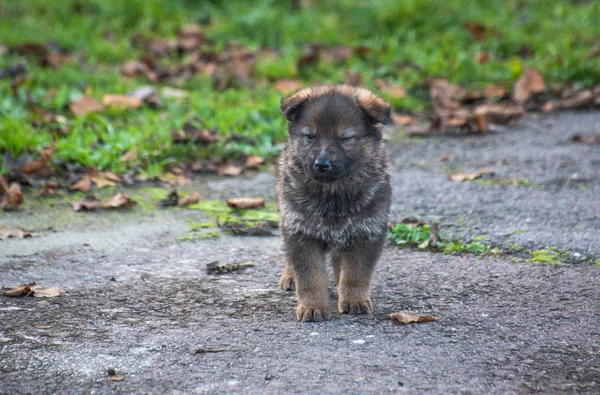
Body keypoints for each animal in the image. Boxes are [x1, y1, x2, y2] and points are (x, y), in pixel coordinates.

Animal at [276, 86, 392, 322]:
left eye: (345, 138)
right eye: (310, 136)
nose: (321, 164)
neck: (333, 192)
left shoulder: (366, 231)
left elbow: (356, 274)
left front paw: (355, 300)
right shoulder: (300, 231)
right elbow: (310, 277)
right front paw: (312, 306)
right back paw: (290, 276)